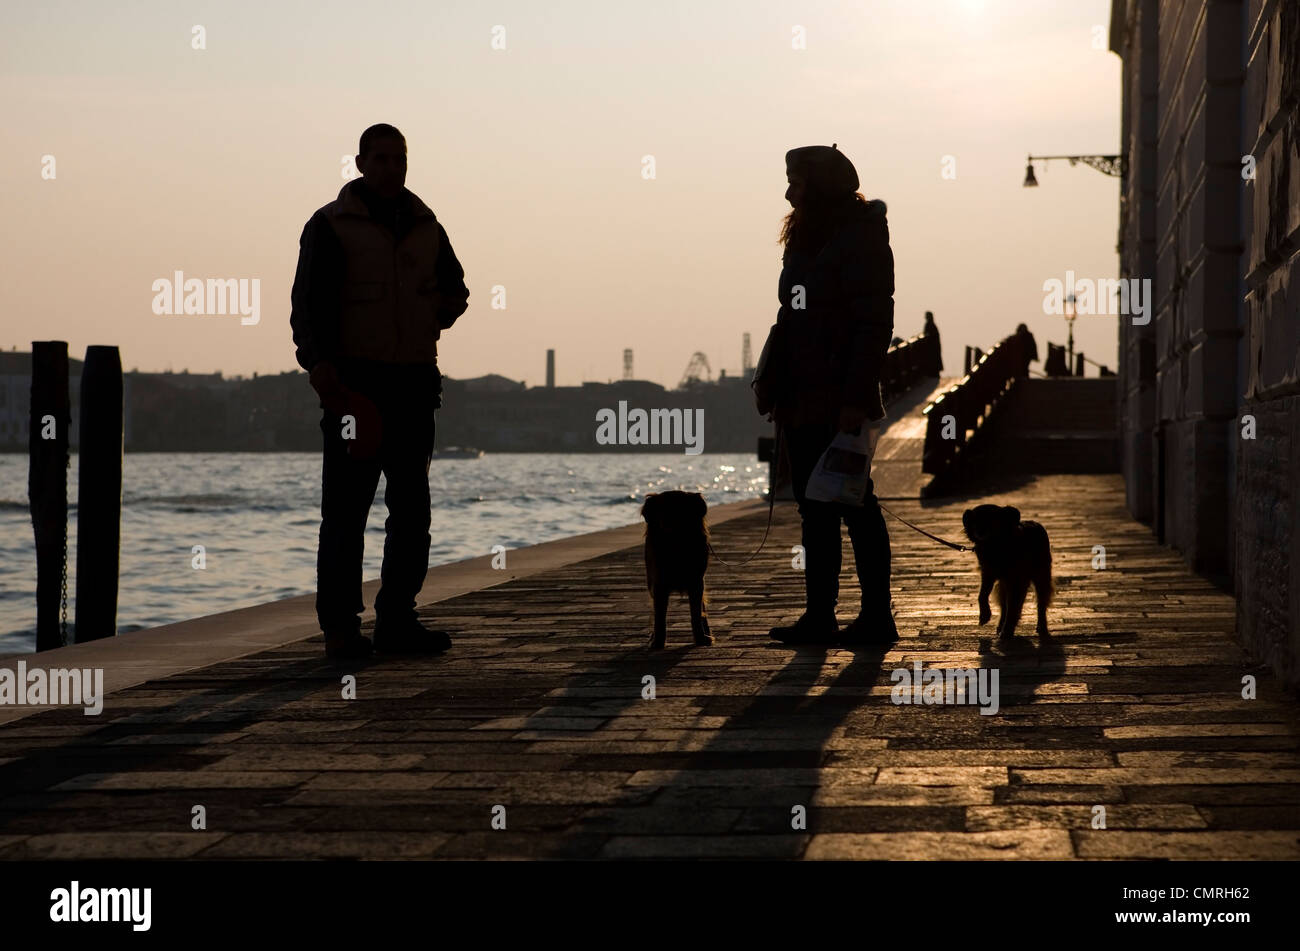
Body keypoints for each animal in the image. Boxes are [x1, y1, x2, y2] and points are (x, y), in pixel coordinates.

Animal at [637, 493, 712, 649]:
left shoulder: (696, 582)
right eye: (661, 509)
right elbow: (659, 616)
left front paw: (701, 638)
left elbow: (696, 613)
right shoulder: (659, 584)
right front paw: (658, 642)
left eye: (680, 509)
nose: (667, 523)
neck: (676, 544)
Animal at [961, 504, 1050, 639]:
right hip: (1005, 584)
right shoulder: (988, 573)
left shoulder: (1016, 580)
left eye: (992, 519)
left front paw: (1007, 630)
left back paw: (1042, 626)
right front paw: (985, 615)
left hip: (1041, 575)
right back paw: (1000, 625)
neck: (996, 545)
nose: (980, 530)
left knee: (1041, 603)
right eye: (975, 521)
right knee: (1004, 605)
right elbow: (982, 595)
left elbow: (1013, 607)